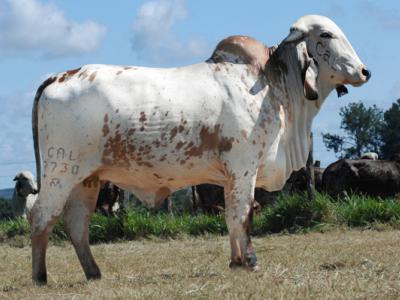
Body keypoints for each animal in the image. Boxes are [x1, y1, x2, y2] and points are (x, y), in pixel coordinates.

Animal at [32, 14, 372, 284]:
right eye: (326, 34)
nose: (364, 71)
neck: (271, 84)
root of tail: (57, 77)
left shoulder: (230, 177)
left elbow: (231, 217)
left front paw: (235, 262)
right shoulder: (244, 168)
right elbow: (243, 215)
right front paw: (250, 262)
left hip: (86, 179)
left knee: (76, 224)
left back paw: (94, 273)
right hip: (61, 171)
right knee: (41, 216)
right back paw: (40, 277)